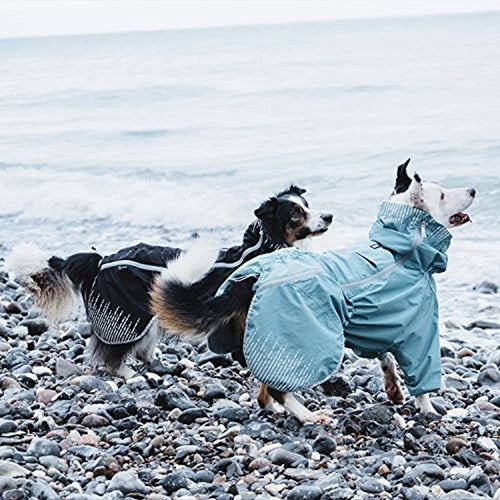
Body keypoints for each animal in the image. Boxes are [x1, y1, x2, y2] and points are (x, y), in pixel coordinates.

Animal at [7, 186, 332, 376]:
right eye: (296, 214)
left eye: (308, 205)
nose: (328, 216)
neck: (266, 247)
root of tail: (100, 260)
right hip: (128, 317)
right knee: (112, 355)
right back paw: (127, 374)